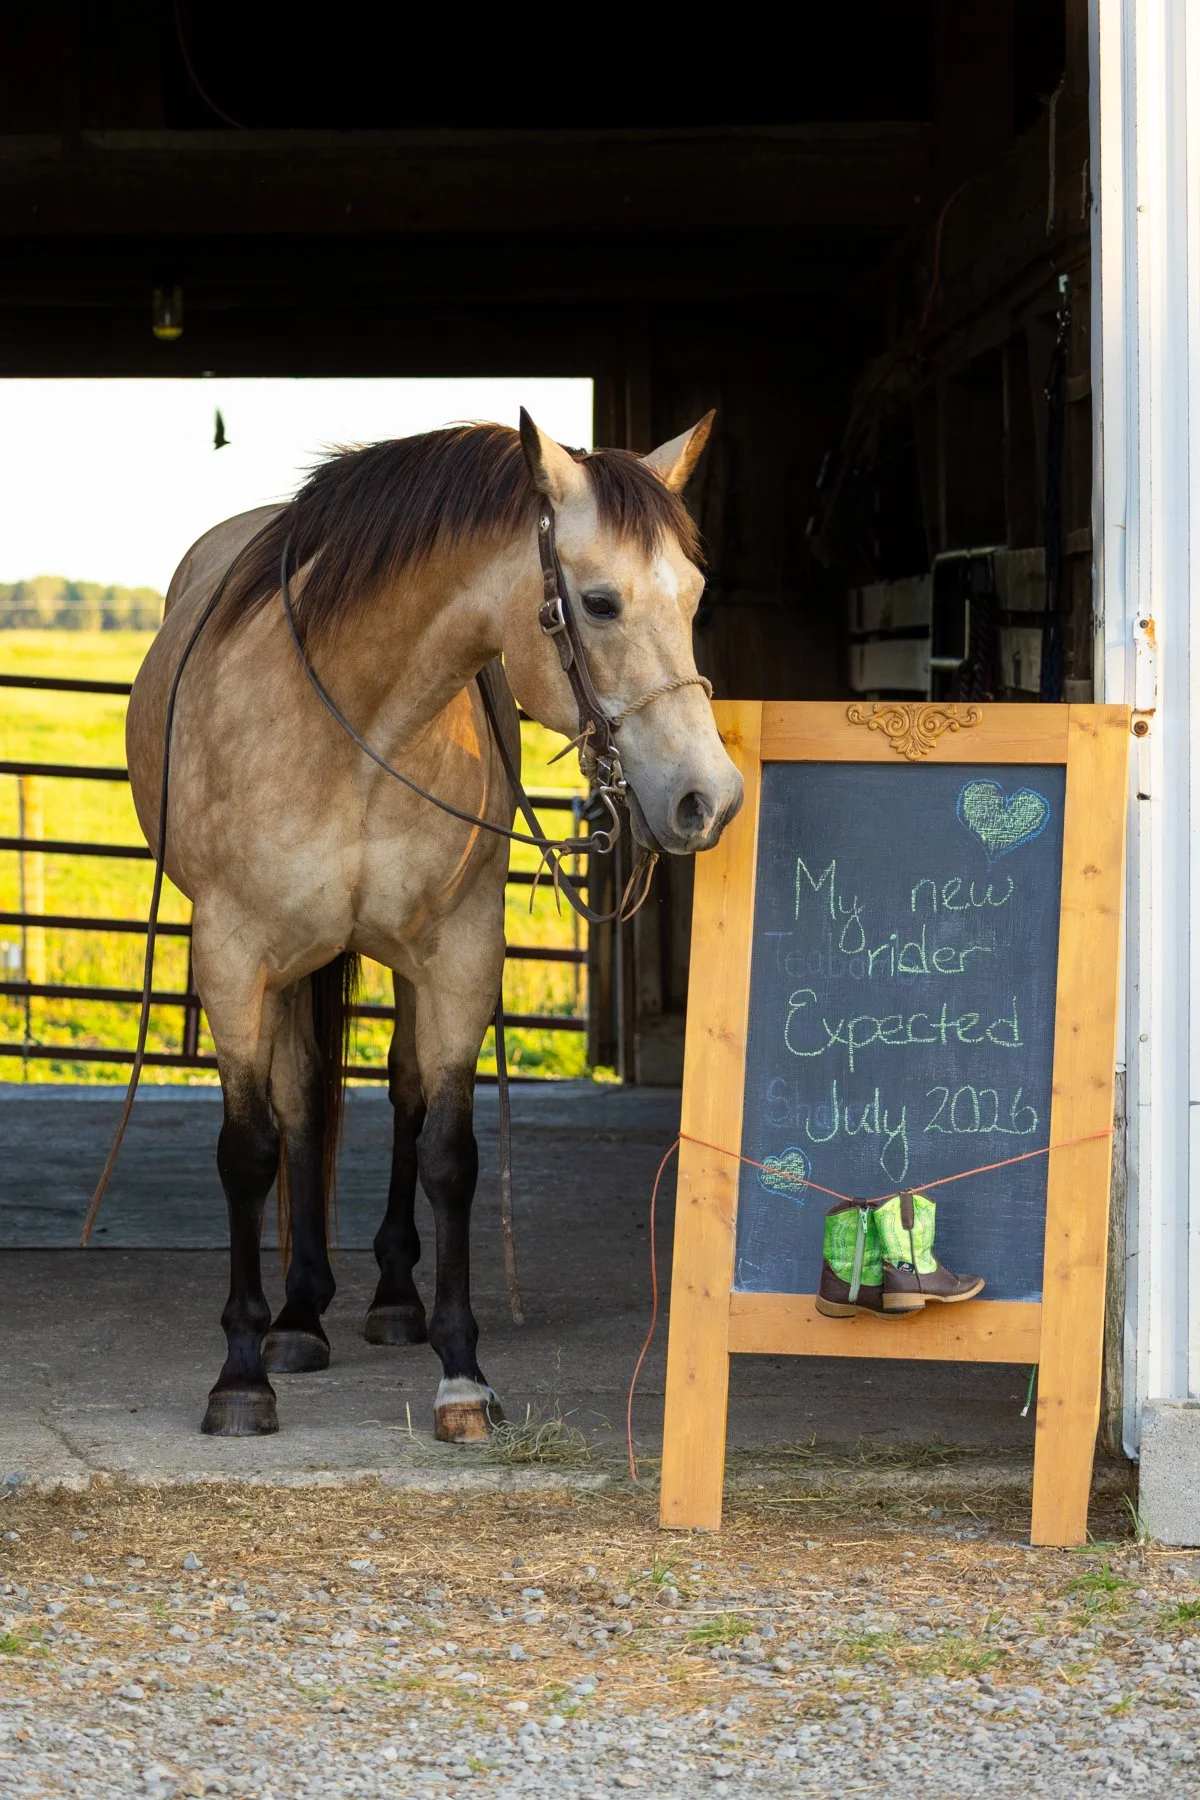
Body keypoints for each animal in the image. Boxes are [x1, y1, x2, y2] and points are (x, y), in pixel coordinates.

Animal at [125, 411, 742, 1443]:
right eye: (601, 602)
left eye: (695, 596)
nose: (710, 800)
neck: (354, 724)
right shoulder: (234, 957)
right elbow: (249, 1151)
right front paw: (241, 1375)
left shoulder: (459, 954)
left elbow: (449, 1153)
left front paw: (463, 1373)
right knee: (300, 1103)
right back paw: (297, 1316)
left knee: (399, 1093)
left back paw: (389, 1301)